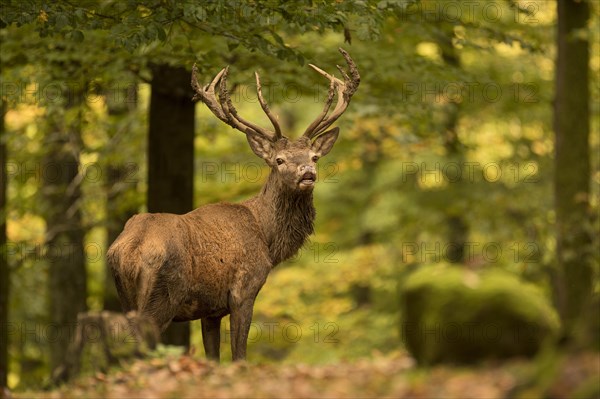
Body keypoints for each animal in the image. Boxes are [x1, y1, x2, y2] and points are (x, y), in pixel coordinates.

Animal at [106, 47, 360, 362]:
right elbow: (240, 355)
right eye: (279, 160)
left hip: (126, 298)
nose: (307, 173)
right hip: (161, 297)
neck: (267, 238)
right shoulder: (244, 290)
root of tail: (131, 250)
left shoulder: (210, 309)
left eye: (314, 156)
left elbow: (213, 356)